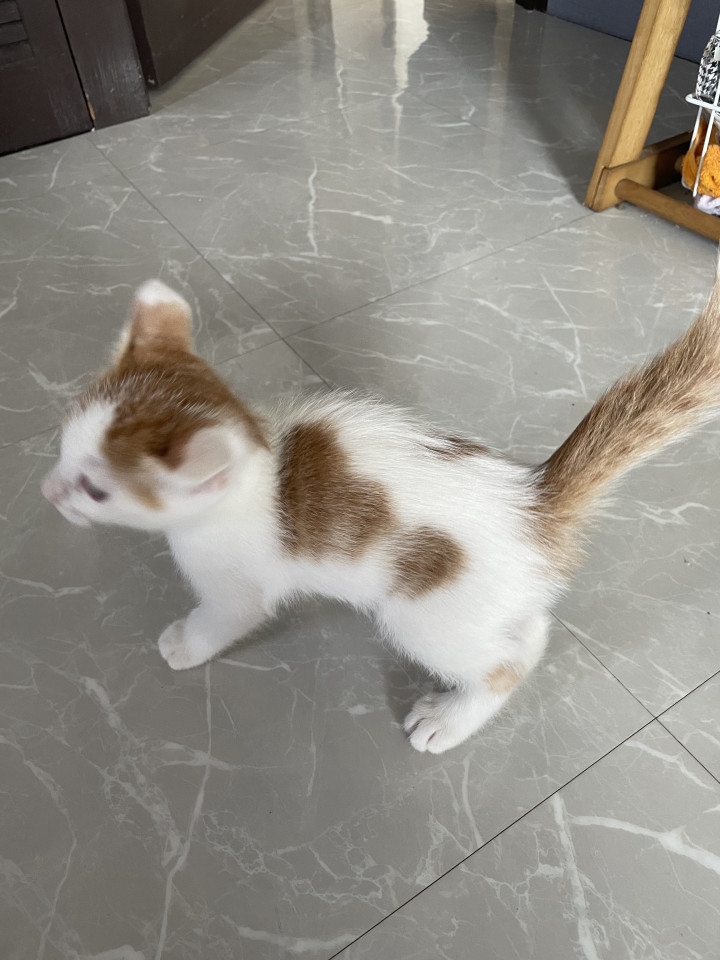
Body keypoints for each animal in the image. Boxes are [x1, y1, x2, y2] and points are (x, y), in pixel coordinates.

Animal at [42, 274, 720, 753]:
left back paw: (450, 720)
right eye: (63, 441)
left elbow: (223, 618)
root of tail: (532, 499)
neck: (260, 466)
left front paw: (186, 643)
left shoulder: (238, 587)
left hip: (425, 614)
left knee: (512, 658)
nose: (49, 493)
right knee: (530, 629)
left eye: (96, 491)